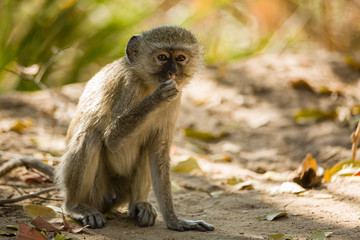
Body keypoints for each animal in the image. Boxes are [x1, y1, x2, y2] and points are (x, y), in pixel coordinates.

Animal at [56, 25, 214, 232]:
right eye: (162, 57)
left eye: (181, 58)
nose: (172, 73)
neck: (146, 83)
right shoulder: (126, 84)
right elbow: (112, 139)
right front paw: (157, 98)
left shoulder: (176, 99)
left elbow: (158, 151)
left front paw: (174, 221)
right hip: (97, 191)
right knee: (90, 136)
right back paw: (75, 206)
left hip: (122, 190)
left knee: (146, 149)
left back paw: (139, 205)